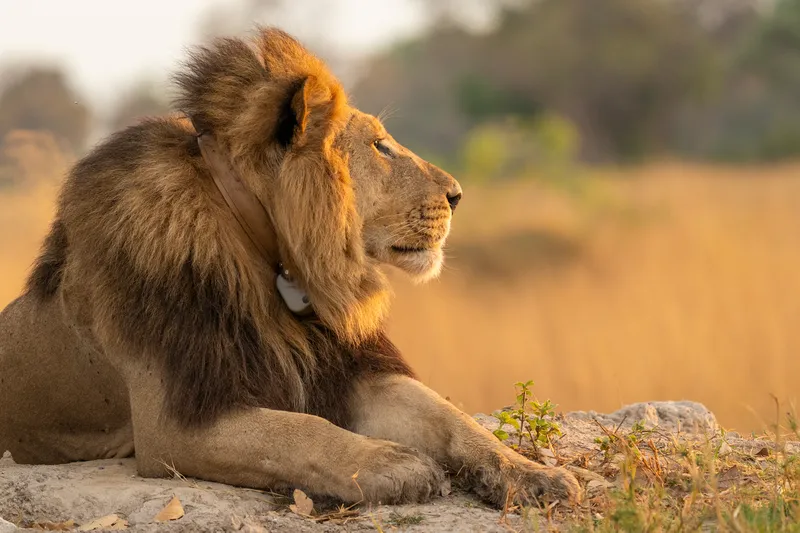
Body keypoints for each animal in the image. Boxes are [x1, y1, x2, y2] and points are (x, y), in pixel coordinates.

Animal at [0, 28, 579, 507]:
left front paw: (533, 474)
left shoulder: (347, 369)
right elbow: (296, 431)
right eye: (380, 146)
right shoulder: (173, 423)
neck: (274, 264)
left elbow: (452, 418)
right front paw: (392, 464)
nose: (457, 195)